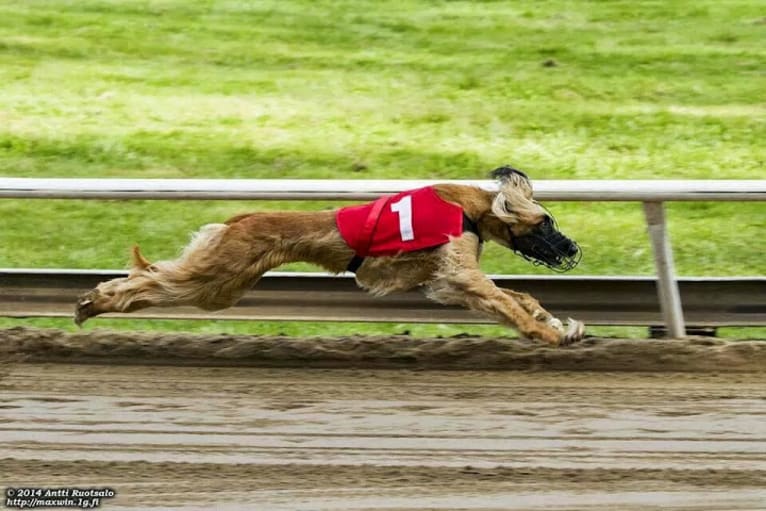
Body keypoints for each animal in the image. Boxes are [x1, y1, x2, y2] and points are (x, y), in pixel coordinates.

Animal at [73, 168, 588, 348]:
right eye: (546, 222)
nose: (571, 250)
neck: (471, 208)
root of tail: (241, 218)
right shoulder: (457, 273)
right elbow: (504, 301)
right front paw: (551, 333)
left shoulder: (444, 281)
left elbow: (517, 296)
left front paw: (563, 322)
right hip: (217, 276)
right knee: (152, 280)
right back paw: (90, 304)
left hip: (224, 282)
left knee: (151, 278)